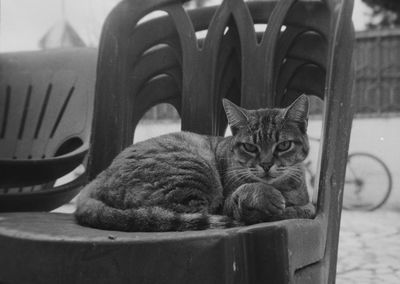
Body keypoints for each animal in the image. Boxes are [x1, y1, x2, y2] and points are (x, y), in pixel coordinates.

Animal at [75, 94, 316, 232]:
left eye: (283, 145)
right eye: (250, 147)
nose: (266, 165)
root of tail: (99, 178)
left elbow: (303, 208)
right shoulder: (229, 203)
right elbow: (251, 198)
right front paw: (268, 198)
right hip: (192, 174)